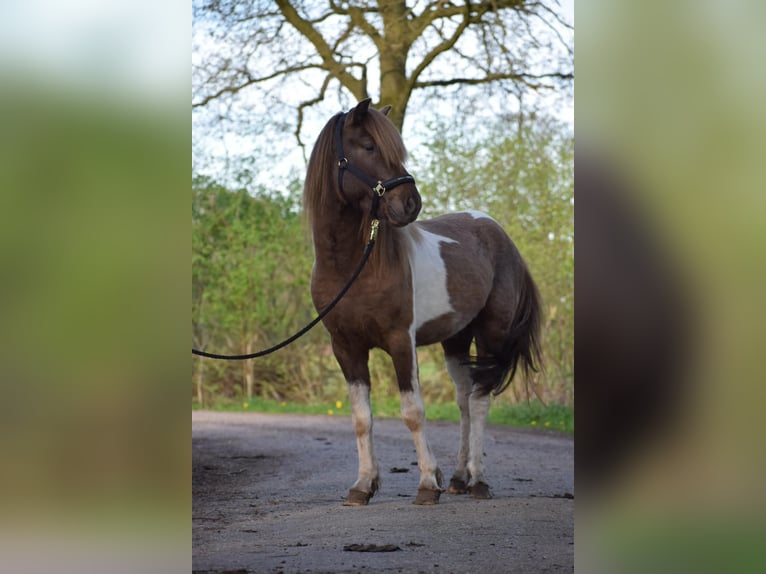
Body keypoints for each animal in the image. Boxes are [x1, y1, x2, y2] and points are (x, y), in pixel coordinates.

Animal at [303, 98, 542, 505]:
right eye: (368, 146)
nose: (411, 203)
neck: (351, 266)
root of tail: (500, 235)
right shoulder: (345, 347)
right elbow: (361, 418)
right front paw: (363, 485)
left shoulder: (401, 341)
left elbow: (413, 411)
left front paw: (428, 482)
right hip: (457, 339)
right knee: (464, 400)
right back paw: (460, 478)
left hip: (491, 334)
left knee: (479, 401)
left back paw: (478, 481)